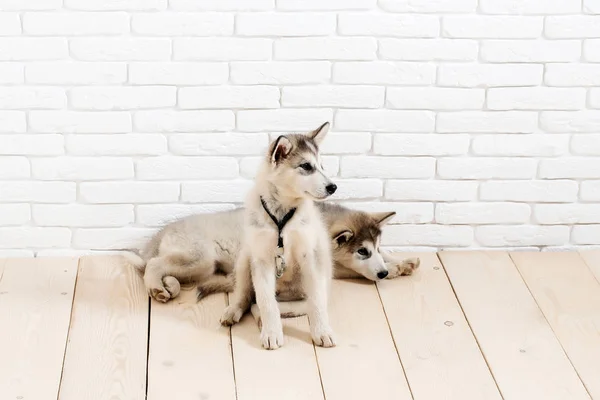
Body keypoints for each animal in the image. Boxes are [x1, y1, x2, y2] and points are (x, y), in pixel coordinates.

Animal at [223, 123, 340, 348]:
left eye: (322, 166)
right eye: (306, 166)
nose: (333, 187)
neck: (282, 215)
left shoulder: (310, 256)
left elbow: (316, 301)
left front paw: (322, 331)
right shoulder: (261, 258)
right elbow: (266, 301)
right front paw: (271, 333)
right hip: (245, 258)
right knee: (247, 298)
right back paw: (235, 311)